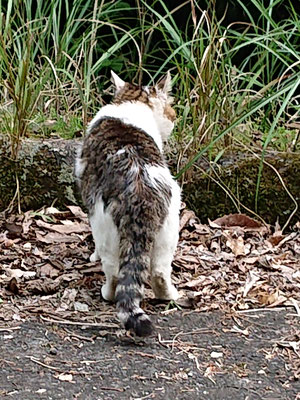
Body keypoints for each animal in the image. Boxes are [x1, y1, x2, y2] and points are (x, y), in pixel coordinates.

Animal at [75, 70, 180, 336]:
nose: (174, 117)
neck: (131, 102)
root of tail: (141, 191)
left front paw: (92, 257)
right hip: (170, 225)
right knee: (160, 271)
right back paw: (170, 295)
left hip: (103, 225)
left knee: (114, 272)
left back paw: (107, 292)